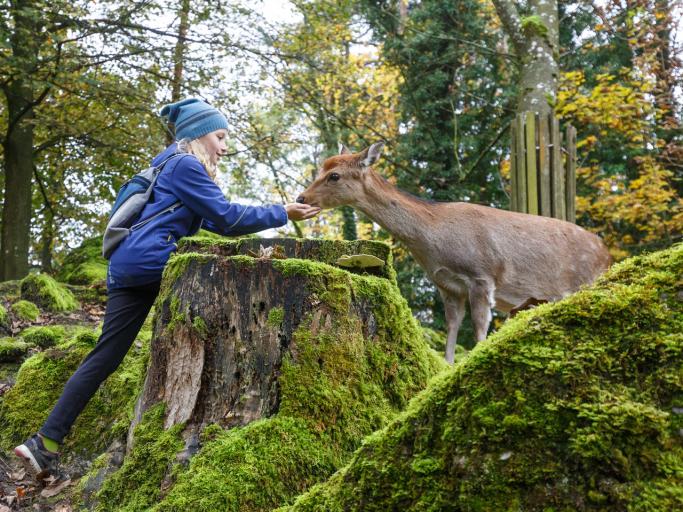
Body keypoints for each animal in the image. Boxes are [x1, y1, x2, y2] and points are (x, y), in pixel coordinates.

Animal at [296, 142, 612, 362]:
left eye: (334, 175)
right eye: (321, 169)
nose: (302, 197)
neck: (434, 240)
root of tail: (607, 255)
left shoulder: (482, 275)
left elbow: (480, 327)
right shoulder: (447, 285)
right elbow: (452, 329)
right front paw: (447, 367)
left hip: (584, 282)